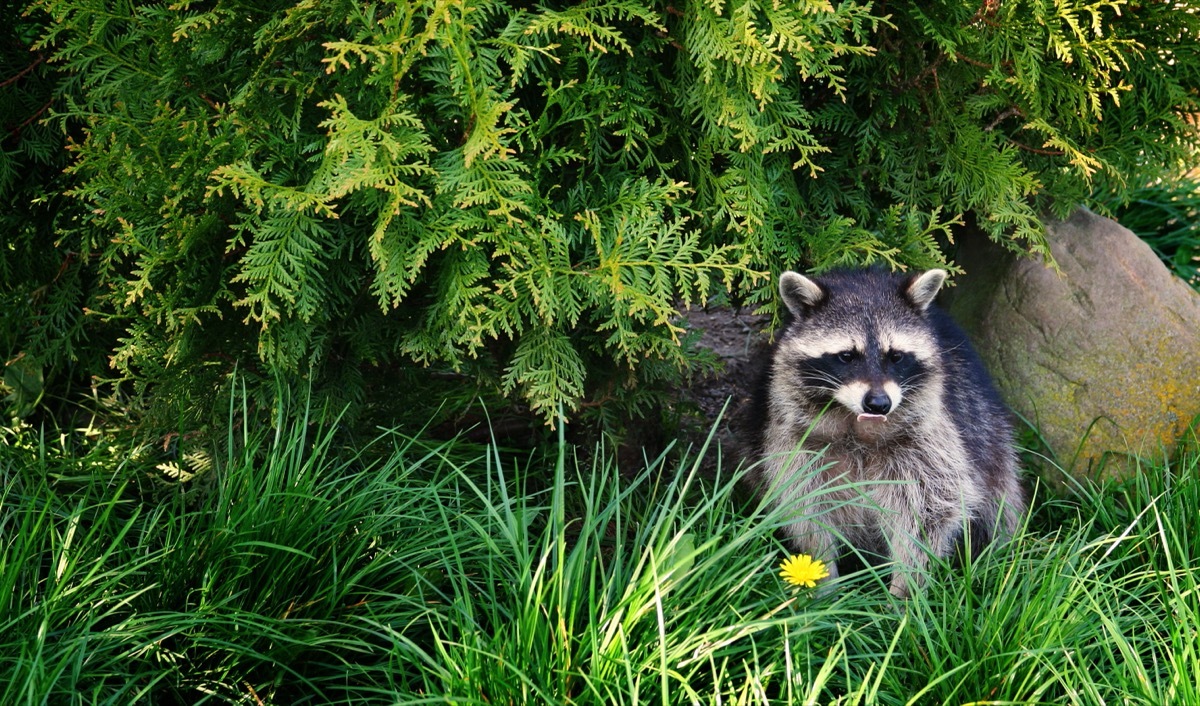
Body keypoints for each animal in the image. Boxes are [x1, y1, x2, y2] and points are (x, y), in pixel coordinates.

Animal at [748, 267, 1022, 597]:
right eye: (846, 356)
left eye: (896, 356)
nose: (879, 403)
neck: (857, 425)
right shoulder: (797, 441)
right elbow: (805, 506)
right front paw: (823, 582)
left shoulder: (928, 440)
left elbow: (929, 511)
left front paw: (904, 591)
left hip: (987, 430)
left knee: (997, 500)